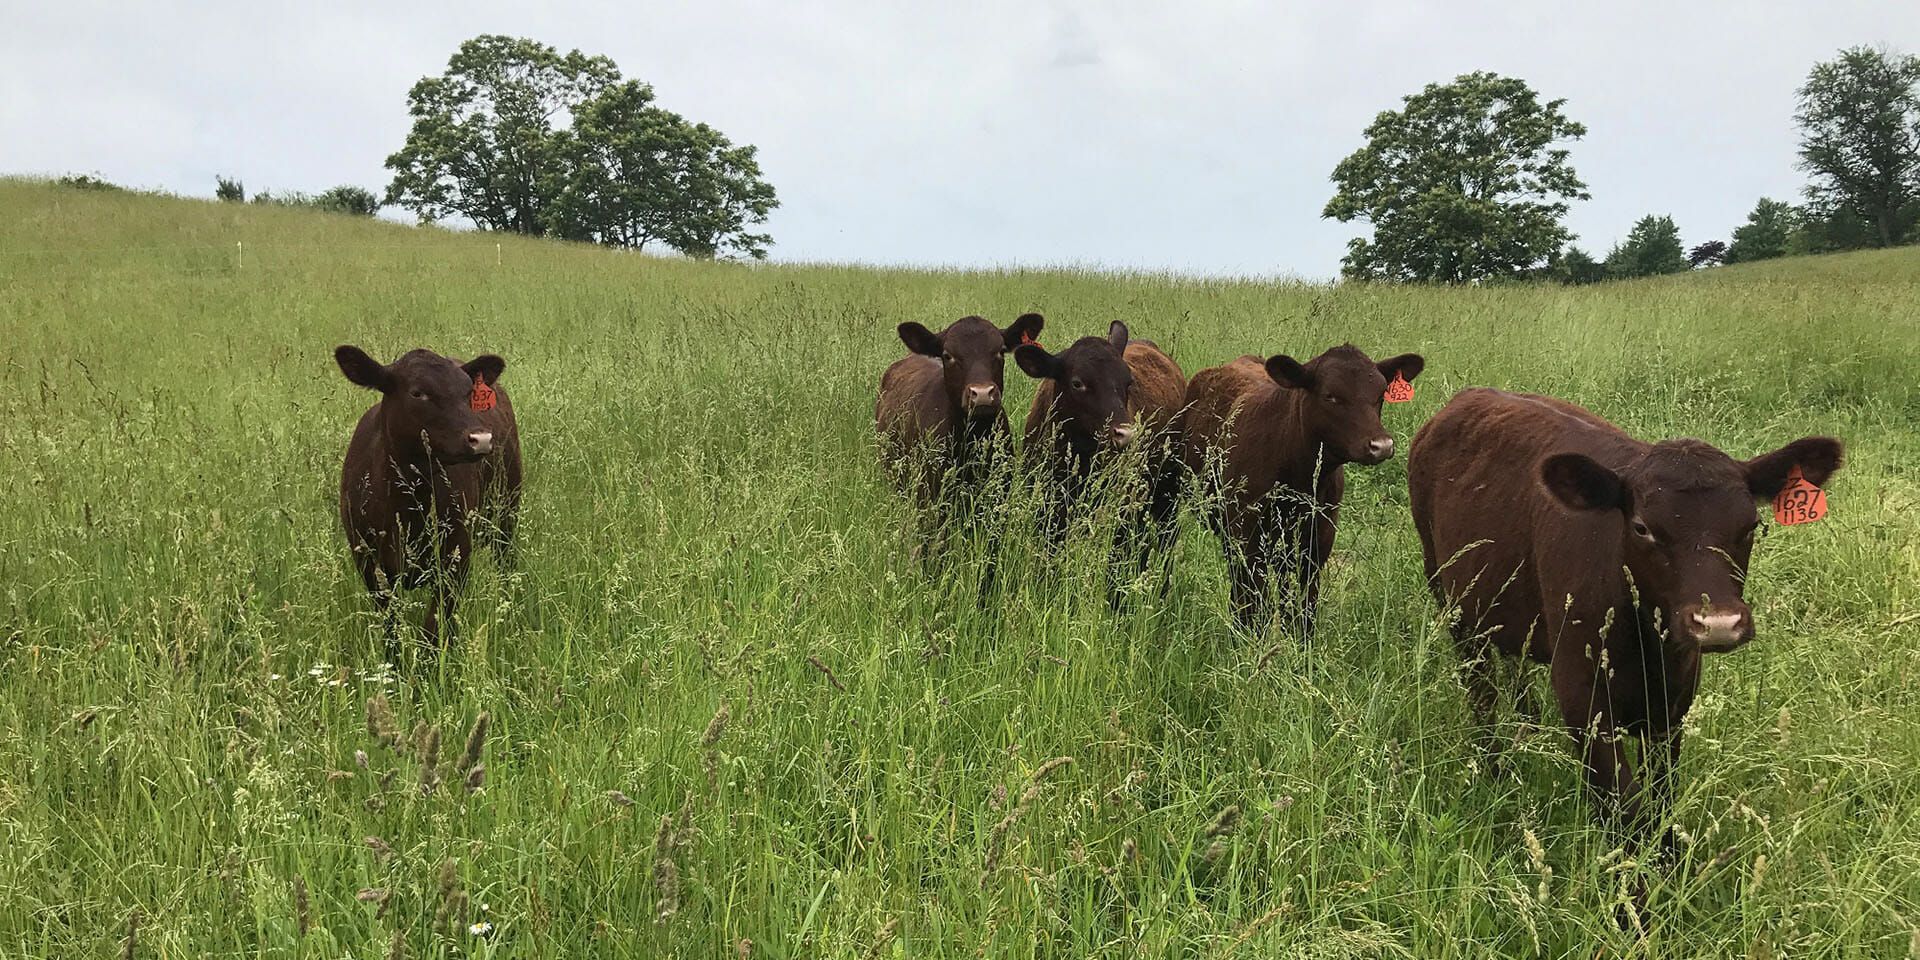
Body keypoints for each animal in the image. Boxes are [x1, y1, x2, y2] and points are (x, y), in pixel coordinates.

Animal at [334, 345, 522, 660]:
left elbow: (435, 630)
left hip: (506, 512)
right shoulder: (368, 562)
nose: (481, 439)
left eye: (468, 393)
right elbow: (392, 631)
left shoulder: (456, 557)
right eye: (417, 393)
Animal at [1182, 345, 1428, 637]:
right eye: (1331, 396)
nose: (1381, 445)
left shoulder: (1316, 546)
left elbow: (1304, 613)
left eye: (1381, 395)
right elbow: (1254, 607)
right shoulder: (1247, 538)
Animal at [1413, 385, 1843, 837]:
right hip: (1449, 598)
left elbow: (1662, 797)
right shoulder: (1582, 697)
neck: (1646, 643)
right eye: (1642, 527)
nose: (1717, 624)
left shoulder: (1674, 702)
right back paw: (1495, 769)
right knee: (1479, 687)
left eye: (1751, 526)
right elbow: (1628, 810)